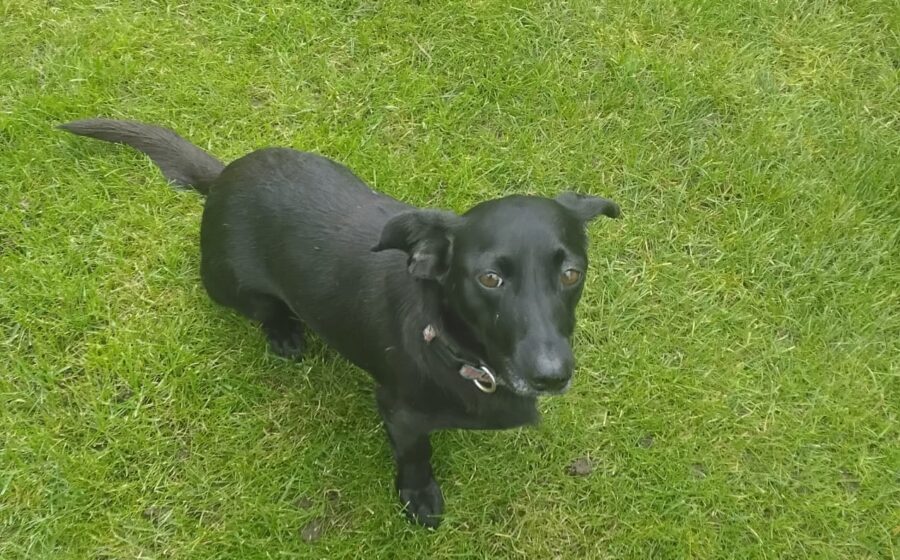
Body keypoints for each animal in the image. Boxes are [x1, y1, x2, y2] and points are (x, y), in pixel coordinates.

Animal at [59, 119, 620, 527]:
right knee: (264, 309)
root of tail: (222, 179)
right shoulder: (400, 413)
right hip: (228, 283)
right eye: (489, 279)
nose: (552, 376)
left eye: (571, 272)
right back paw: (284, 332)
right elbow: (416, 456)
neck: (456, 349)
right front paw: (418, 496)